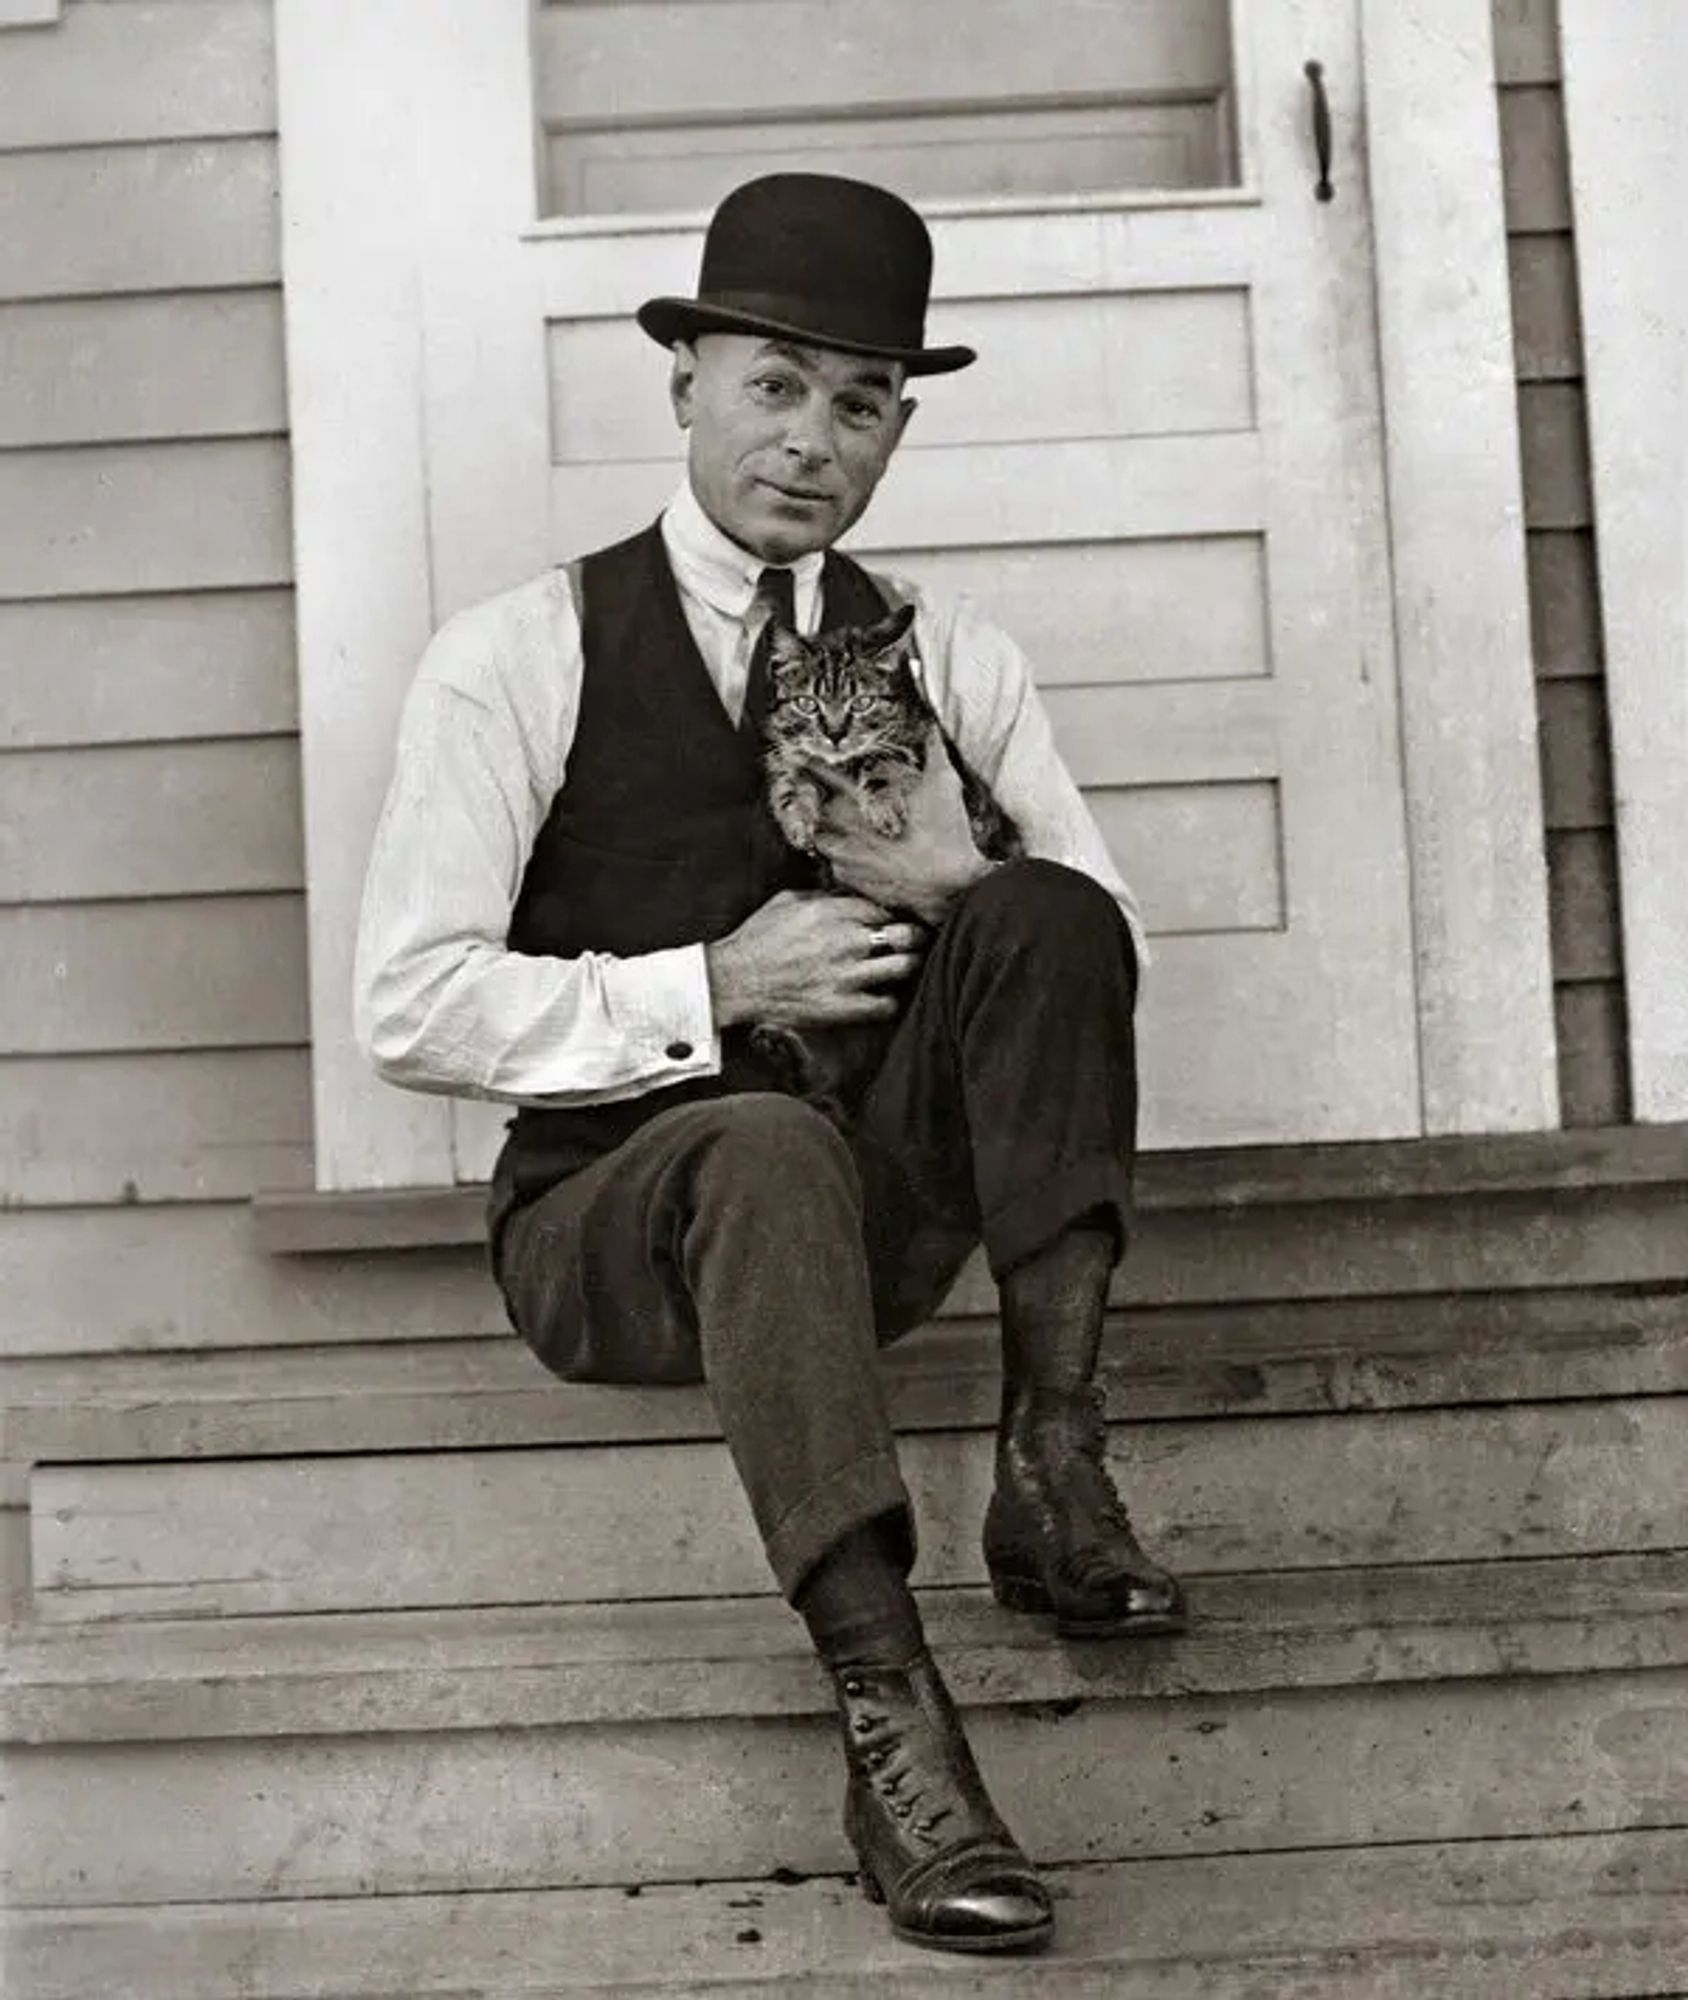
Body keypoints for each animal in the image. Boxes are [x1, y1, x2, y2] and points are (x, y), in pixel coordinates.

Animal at [744, 600, 1024, 1120]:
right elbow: (789, 778)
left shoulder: (916, 748)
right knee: (818, 1077)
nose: (835, 733)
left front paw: (884, 808)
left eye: (862, 703)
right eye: (807, 704)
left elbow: (880, 760)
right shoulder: (789, 754)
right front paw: (798, 822)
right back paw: (782, 1046)